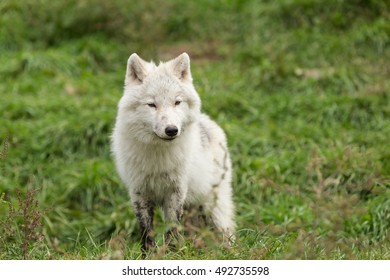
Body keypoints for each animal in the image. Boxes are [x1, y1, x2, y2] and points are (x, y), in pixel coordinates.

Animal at [112, 52, 235, 249]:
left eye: (177, 102)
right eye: (152, 105)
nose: (171, 130)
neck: (158, 157)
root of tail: (209, 122)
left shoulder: (176, 192)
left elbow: (172, 227)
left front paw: (173, 251)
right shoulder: (139, 192)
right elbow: (146, 232)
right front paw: (149, 254)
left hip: (213, 209)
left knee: (227, 233)